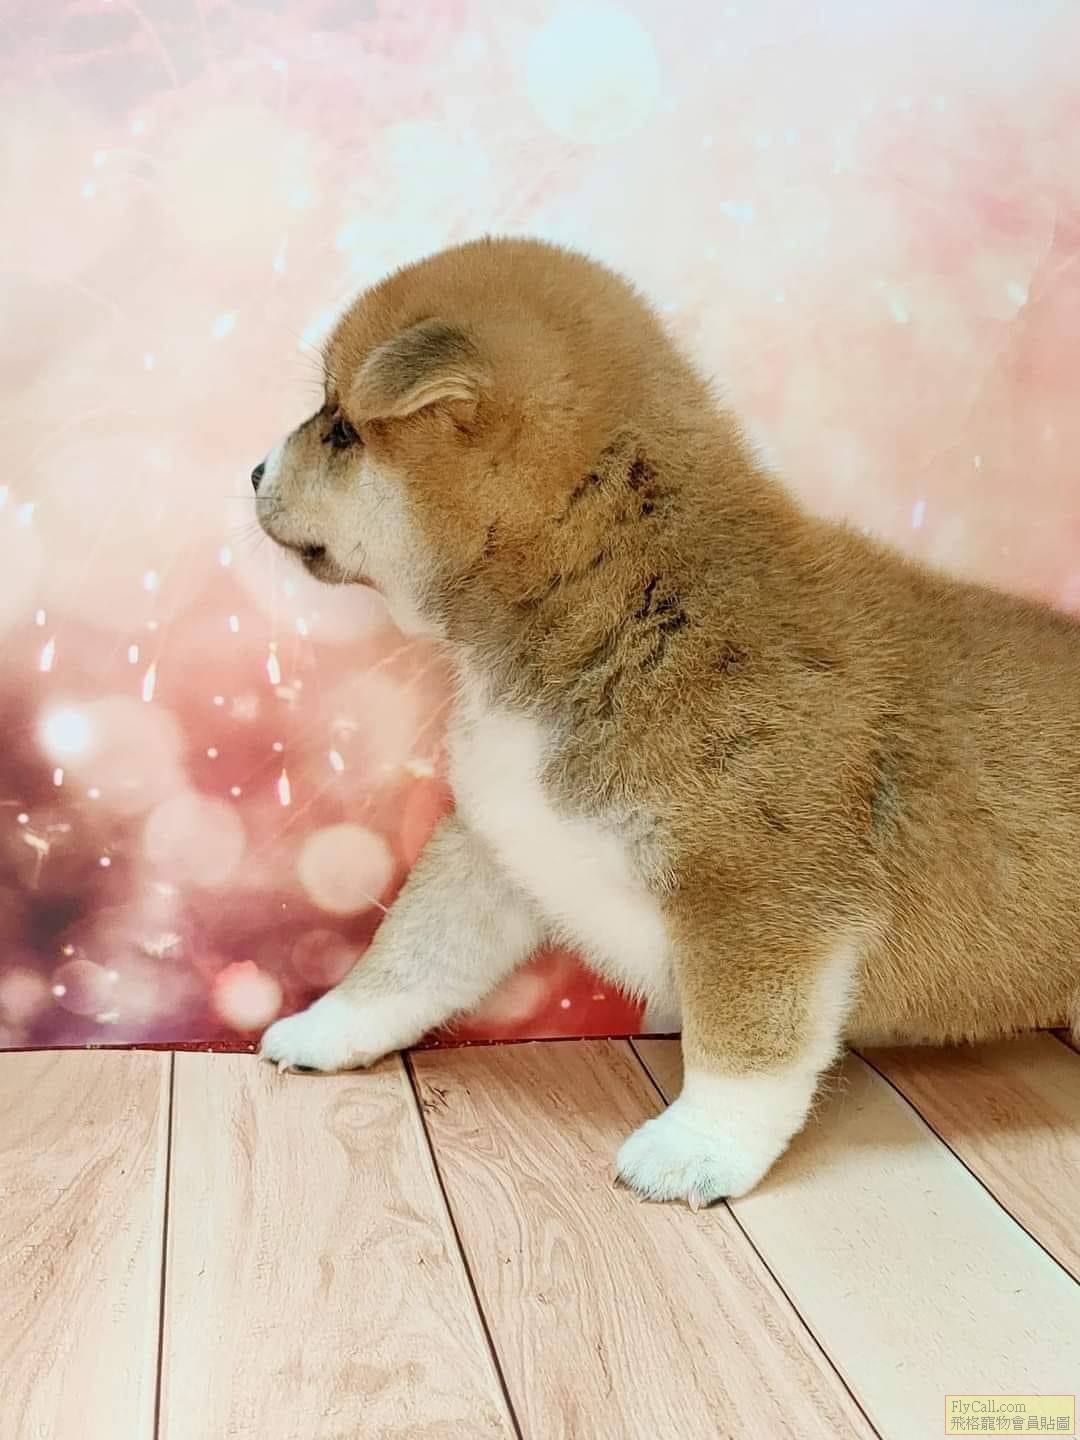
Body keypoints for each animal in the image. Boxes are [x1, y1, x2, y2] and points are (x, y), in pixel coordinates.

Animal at [254, 236, 1080, 1206]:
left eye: (341, 427)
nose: (254, 472)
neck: (612, 596)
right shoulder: (498, 843)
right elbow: (408, 955)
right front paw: (326, 1026)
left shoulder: (759, 898)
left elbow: (744, 1050)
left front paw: (697, 1148)